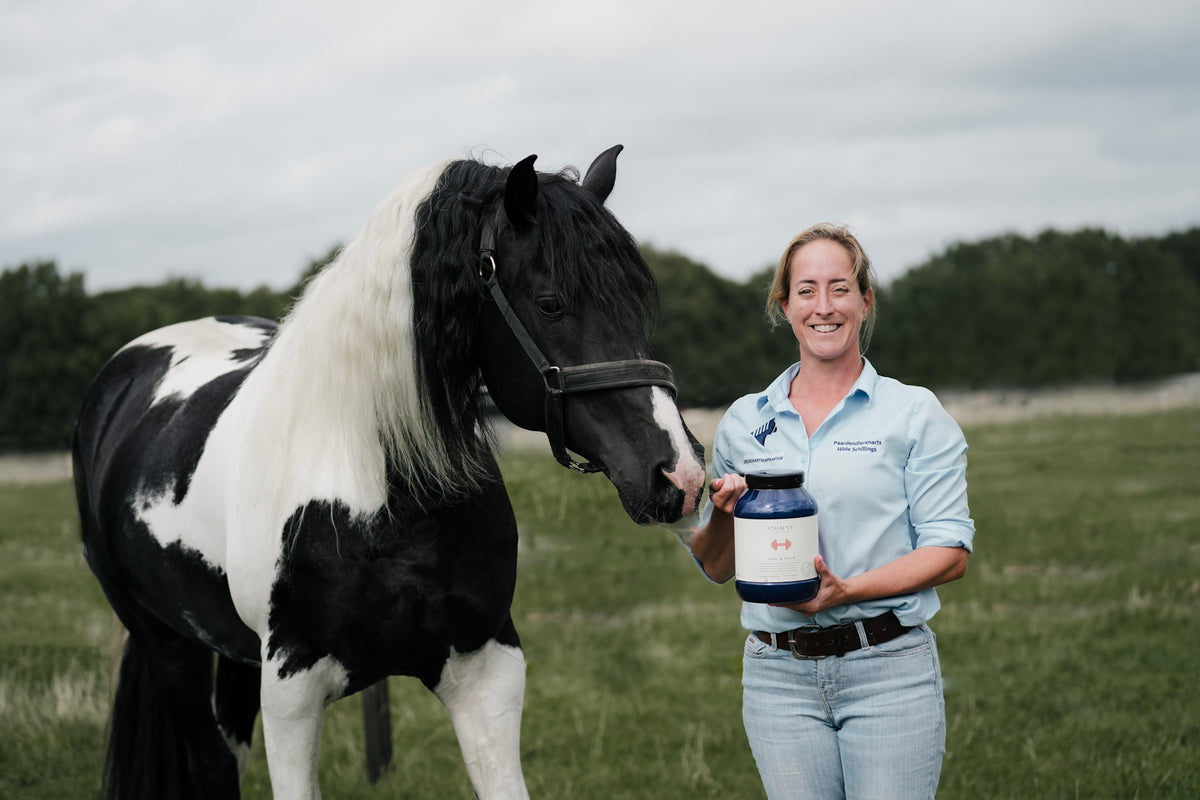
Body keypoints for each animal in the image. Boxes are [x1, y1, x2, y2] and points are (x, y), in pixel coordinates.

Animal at [72, 146, 708, 800]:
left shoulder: (486, 667)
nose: (679, 474)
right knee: (213, 764)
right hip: (166, 644)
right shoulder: (292, 690)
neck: (376, 494)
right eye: (551, 302)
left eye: (637, 303)